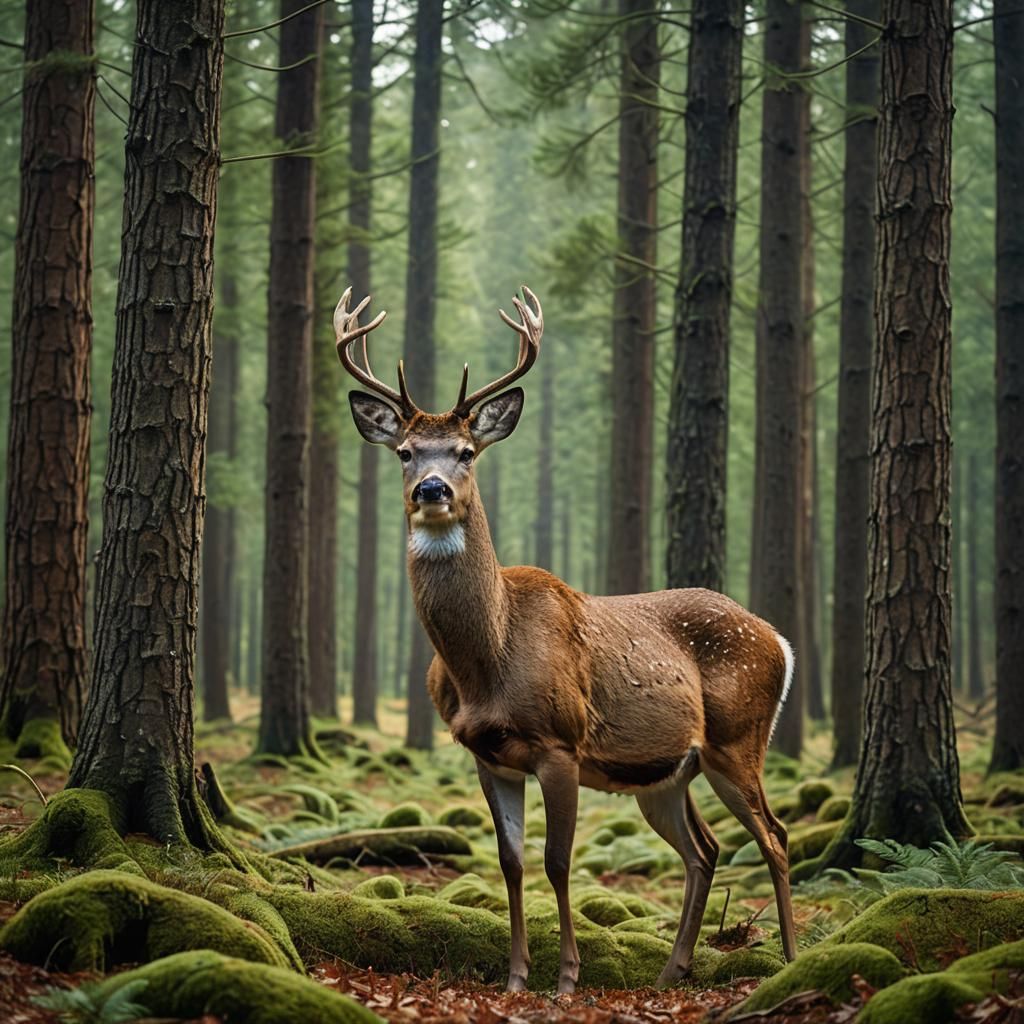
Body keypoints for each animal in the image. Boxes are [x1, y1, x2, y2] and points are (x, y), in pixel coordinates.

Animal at [333, 286, 798, 993]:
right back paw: (671, 972)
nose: (431, 490)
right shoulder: (487, 754)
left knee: (775, 836)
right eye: (406, 452)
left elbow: (557, 861)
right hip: (665, 775)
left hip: (738, 739)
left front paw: (567, 978)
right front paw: (516, 976)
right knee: (705, 849)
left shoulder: (560, 742)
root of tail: (778, 638)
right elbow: (511, 862)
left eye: (466, 452)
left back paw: (796, 961)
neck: (486, 663)